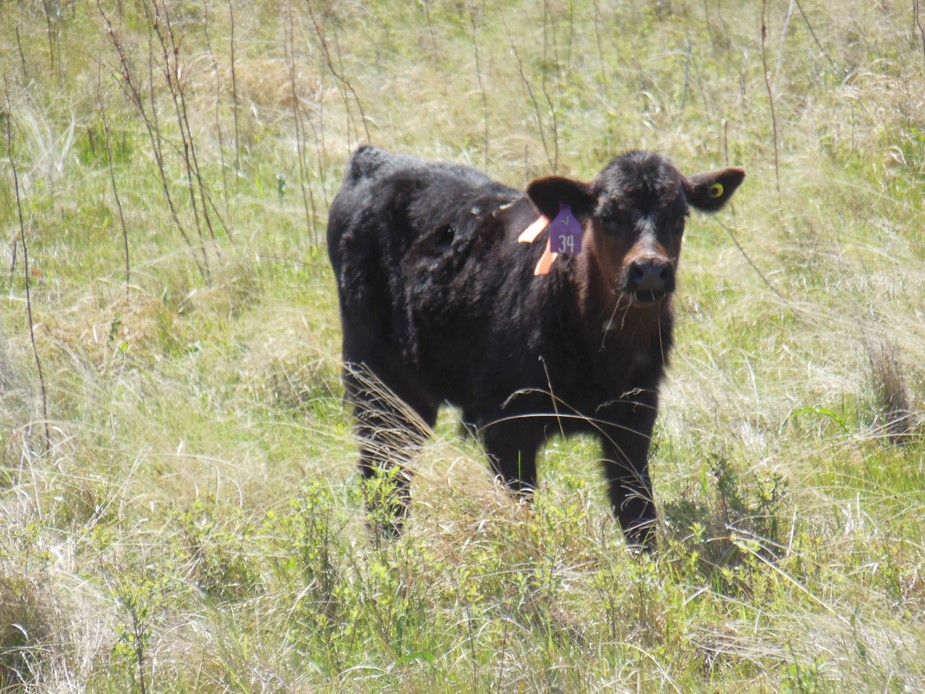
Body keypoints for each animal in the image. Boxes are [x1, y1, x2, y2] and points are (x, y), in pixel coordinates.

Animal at [327, 145, 745, 550]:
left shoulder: (633, 416)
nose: (651, 270)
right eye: (607, 216)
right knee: (384, 476)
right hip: (377, 384)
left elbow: (637, 515)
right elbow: (522, 512)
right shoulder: (506, 425)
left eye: (680, 216)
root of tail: (374, 158)